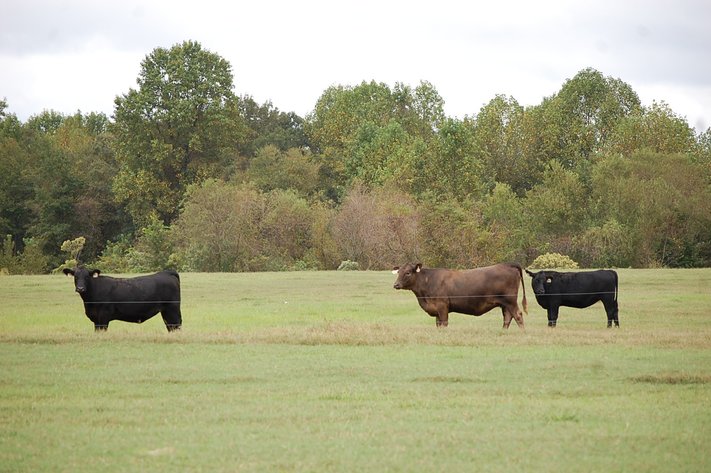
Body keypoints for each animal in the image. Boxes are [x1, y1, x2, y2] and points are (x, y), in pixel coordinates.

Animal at [392, 263, 527, 328]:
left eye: (408, 272)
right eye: (398, 272)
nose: (396, 284)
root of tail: (507, 264)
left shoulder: (442, 306)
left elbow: (444, 323)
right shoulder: (436, 310)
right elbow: (438, 324)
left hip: (510, 301)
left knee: (518, 316)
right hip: (504, 304)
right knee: (507, 318)